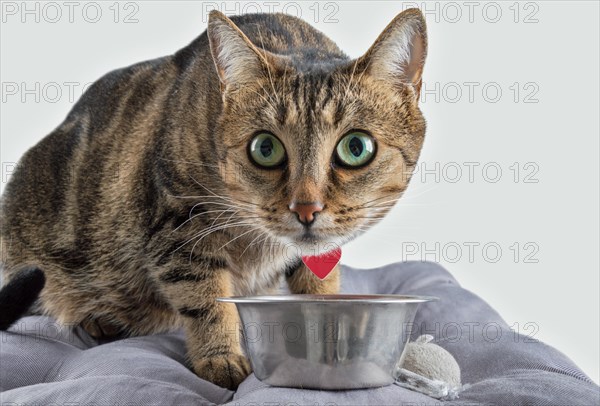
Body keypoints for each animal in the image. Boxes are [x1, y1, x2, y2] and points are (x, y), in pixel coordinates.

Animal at [2, 9, 428, 388]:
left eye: (356, 147)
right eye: (265, 148)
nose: (306, 208)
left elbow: (320, 283)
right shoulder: (179, 228)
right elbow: (208, 301)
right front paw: (221, 357)